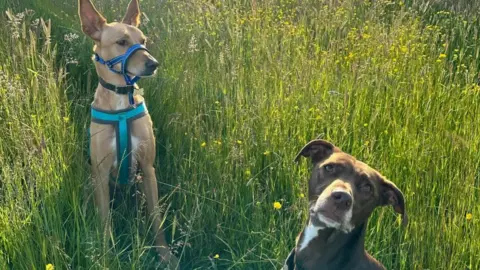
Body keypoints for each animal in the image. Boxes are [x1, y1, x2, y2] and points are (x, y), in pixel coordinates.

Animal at [79, 0, 178, 266]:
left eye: (143, 40)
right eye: (122, 42)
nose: (153, 64)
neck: (122, 103)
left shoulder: (148, 168)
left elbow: (156, 218)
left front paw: (165, 254)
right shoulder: (101, 173)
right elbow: (105, 221)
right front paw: (106, 256)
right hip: (91, 183)